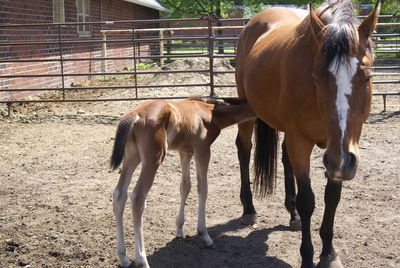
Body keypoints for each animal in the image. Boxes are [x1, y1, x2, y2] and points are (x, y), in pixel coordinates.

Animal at [109, 97, 255, 266]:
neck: (209, 112)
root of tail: (135, 114)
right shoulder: (202, 150)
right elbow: (202, 188)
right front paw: (204, 235)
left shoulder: (185, 152)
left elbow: (185, 186)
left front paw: (179, 230)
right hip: (153, 158)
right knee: (138, 197)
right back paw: (142, 260)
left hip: (132, 156)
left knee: (119, 195)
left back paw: (123, 257)